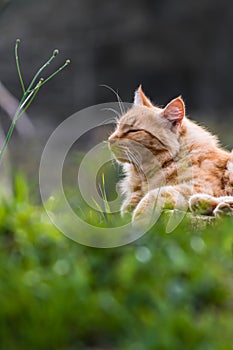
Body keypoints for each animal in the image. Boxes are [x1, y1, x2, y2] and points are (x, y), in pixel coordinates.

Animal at [108, 86, 233, 226]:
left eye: (133, 131)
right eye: (118, 127)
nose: (110, 140)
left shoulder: (201, 186)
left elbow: (155, 194)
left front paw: (140, 220)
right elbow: (127, 207)